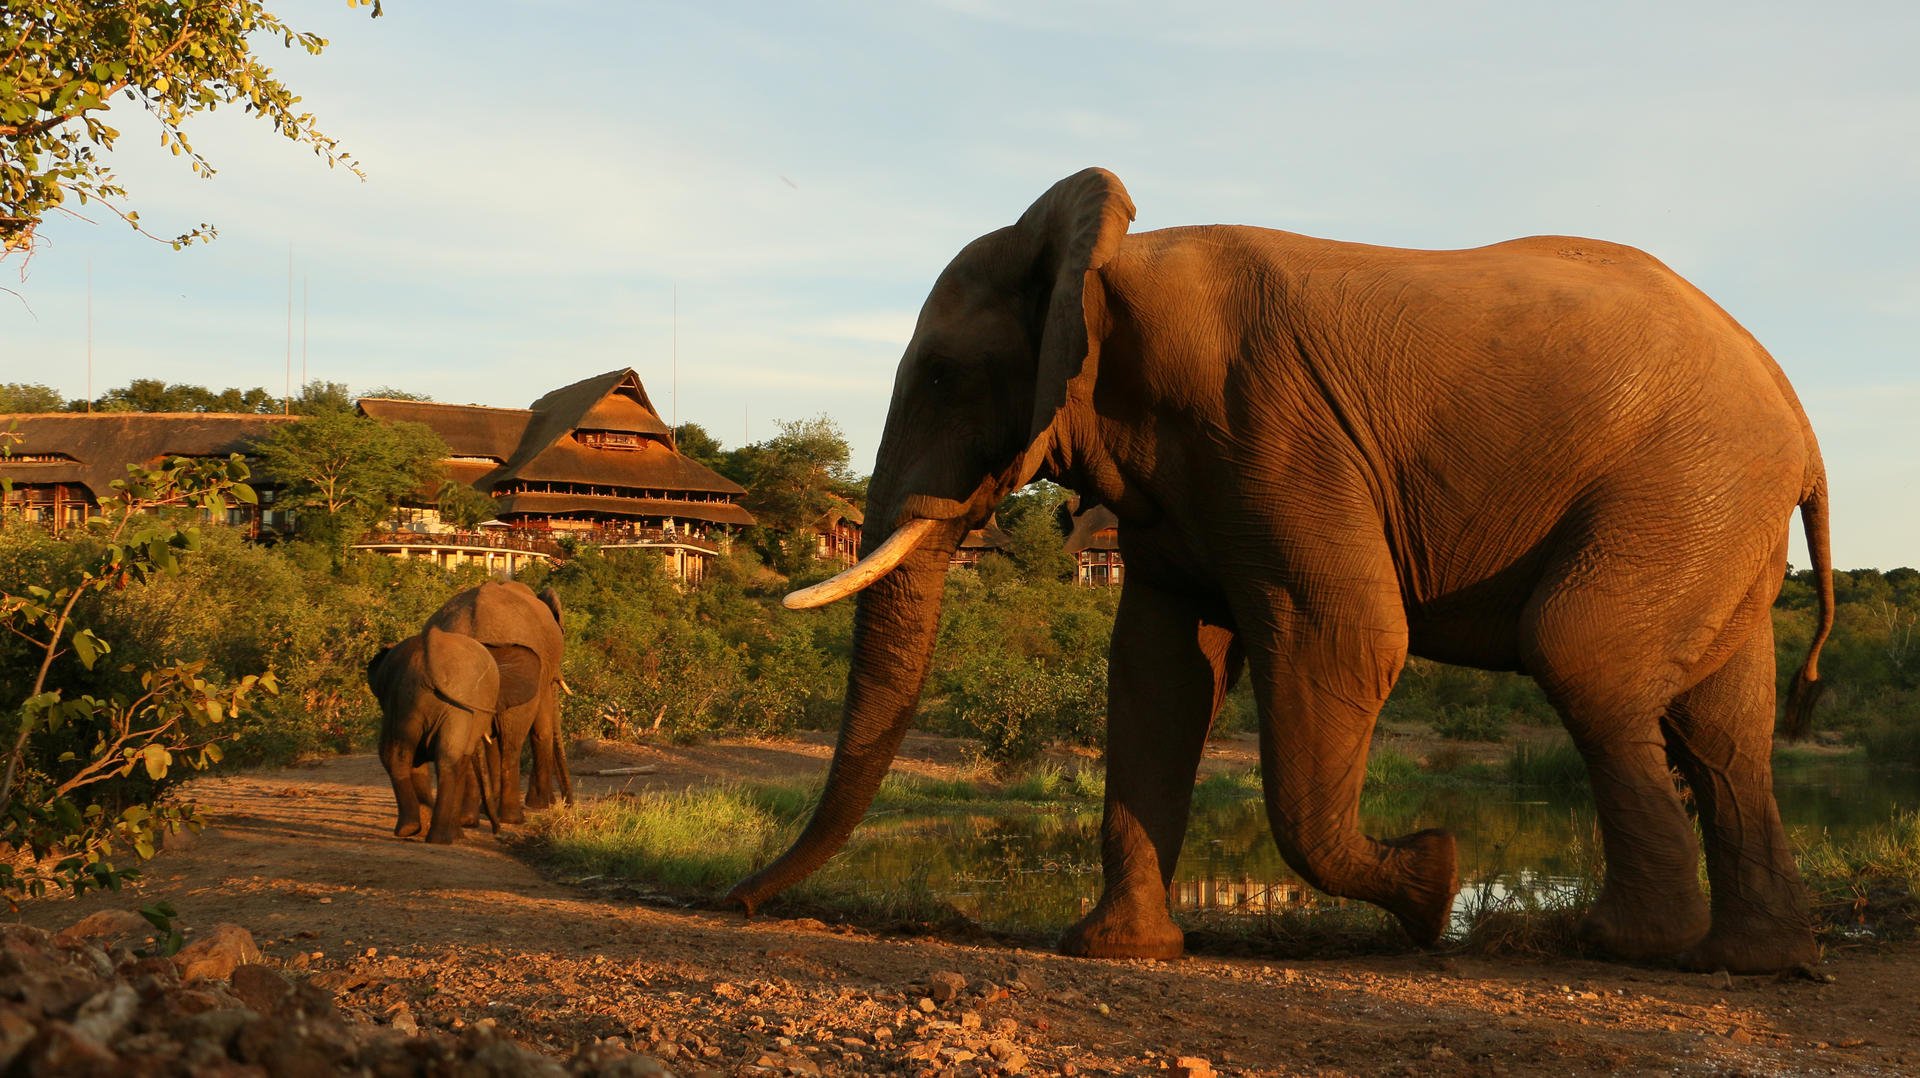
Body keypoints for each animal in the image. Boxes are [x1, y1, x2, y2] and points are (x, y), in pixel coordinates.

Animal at [368, 626, 503, 845]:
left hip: (412, 697)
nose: (496, 830)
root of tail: (429, 652)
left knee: (402, 755)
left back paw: (415, 831)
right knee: (440, 758)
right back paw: (436, 837)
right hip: (447, 704)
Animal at [433, 580, 576, 822]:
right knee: (512, 739)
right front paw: (543, 805)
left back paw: (468, 818)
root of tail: (472, 628)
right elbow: (542, 728)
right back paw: (512, 817)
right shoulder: (541, 673)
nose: (569, 804)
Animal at [725, 168, 1835, 976]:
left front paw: (1433, 884)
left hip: (1685, 483)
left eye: (945, 375)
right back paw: (1754, 962)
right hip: (1715, 515)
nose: (738, 902)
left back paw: (1609, 945)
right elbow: (1158, 674)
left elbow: (1344, 636)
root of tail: (1797, 416)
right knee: (1722, 724)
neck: (1111, 260)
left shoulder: (1269, 425)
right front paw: (1119, 951)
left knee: (1584, 655)